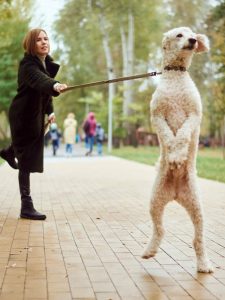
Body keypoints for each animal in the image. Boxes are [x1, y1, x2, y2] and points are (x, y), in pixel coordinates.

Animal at [142, 27, 213, 274]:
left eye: (193, 34)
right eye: (179, 35)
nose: (193, 40)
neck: (176, 74)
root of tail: (174, 193)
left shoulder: (193, 116)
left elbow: (182, 133)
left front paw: (178, 156)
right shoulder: (157, 116)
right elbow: (168, 135)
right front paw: (173, 155)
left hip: (197, 207)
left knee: (198, 239)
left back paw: (204, 264)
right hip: (154, 202)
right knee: (159, 229)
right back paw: (149, 250)